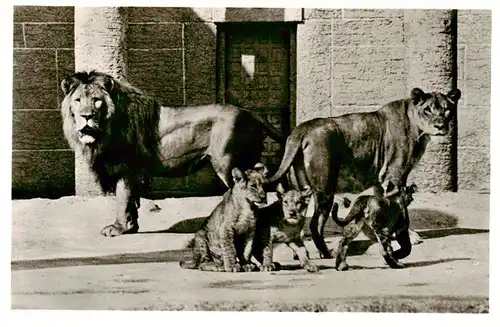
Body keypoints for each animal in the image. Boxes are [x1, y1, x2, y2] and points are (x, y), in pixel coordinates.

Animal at [60, 72, 284, 237]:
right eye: (78, 100)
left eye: (96, 101)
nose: (86, 116)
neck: (106, 128)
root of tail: (251, 113)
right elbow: (132, 200)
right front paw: (132, 228)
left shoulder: (126, 167)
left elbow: (122, 199)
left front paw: (118, 228)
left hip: (228, 164)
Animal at [266, 87, 460, 258]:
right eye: (427, 110)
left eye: (447, 110)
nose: (440, 126)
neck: (417, 126)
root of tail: (301, 129)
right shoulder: (395, 175)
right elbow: (400, 207)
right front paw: (408, 235)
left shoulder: (382, 179)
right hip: (325, 189)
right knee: (315, 225)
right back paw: (327, 253)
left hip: (299, 191)